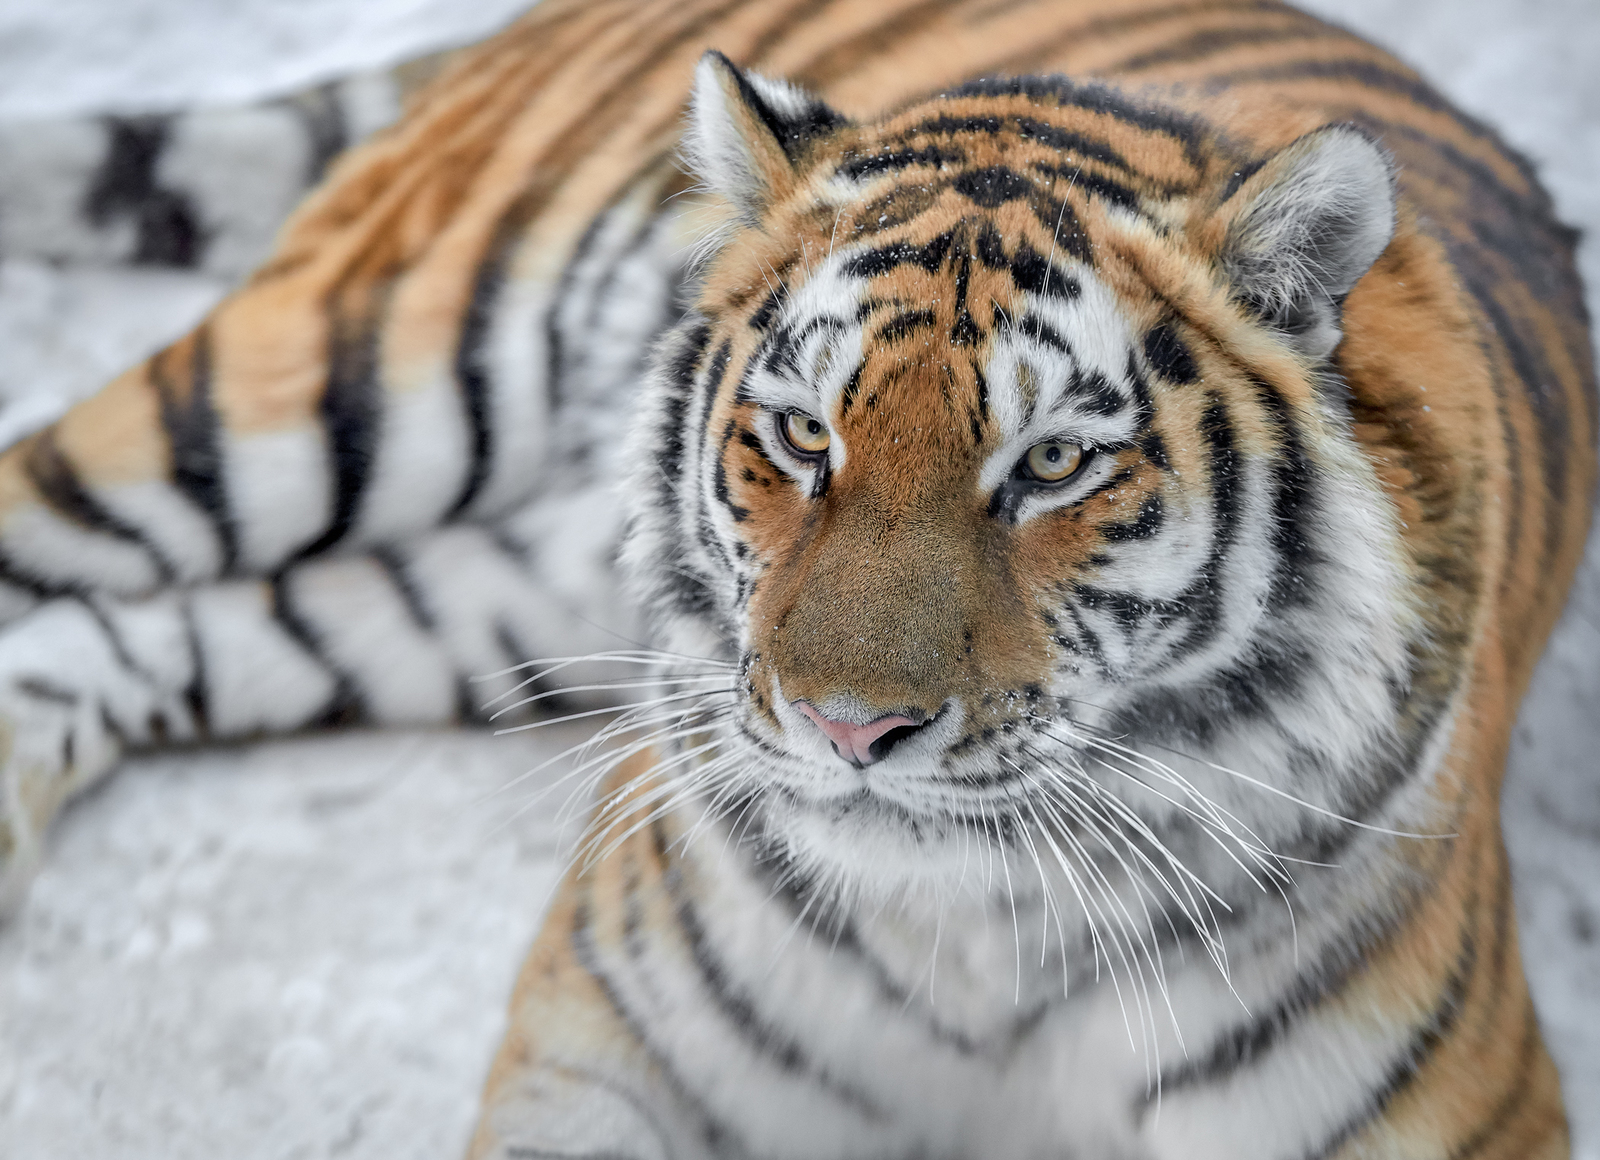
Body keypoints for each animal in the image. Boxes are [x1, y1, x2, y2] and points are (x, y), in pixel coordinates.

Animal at [0, 0, 1593, 1152]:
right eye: (803, 434)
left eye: (1054, 465)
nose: (849, 729)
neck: (974, 938)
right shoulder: (604, 1040)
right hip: (331, 384)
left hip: (491, 598)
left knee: (129, 634)